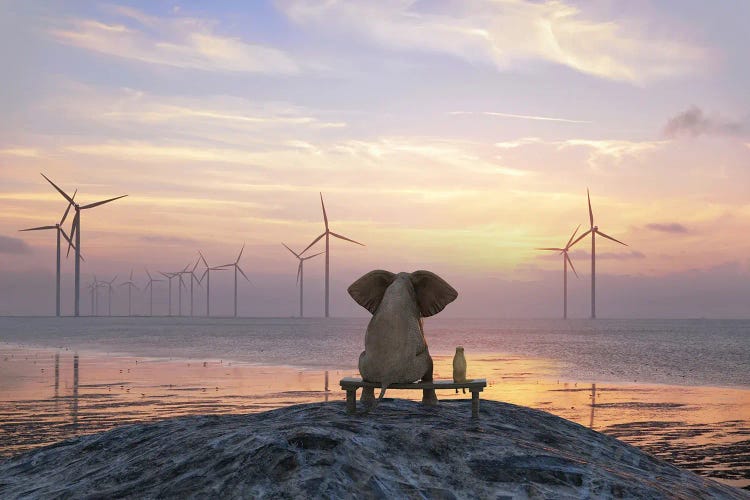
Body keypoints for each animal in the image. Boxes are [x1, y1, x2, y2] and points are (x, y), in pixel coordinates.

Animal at [350, 270, 462, 410]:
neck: (400, 280)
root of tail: (386, 379)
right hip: (413, 367)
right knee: (428, 363)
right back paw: (431, 403)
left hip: (364, 364)